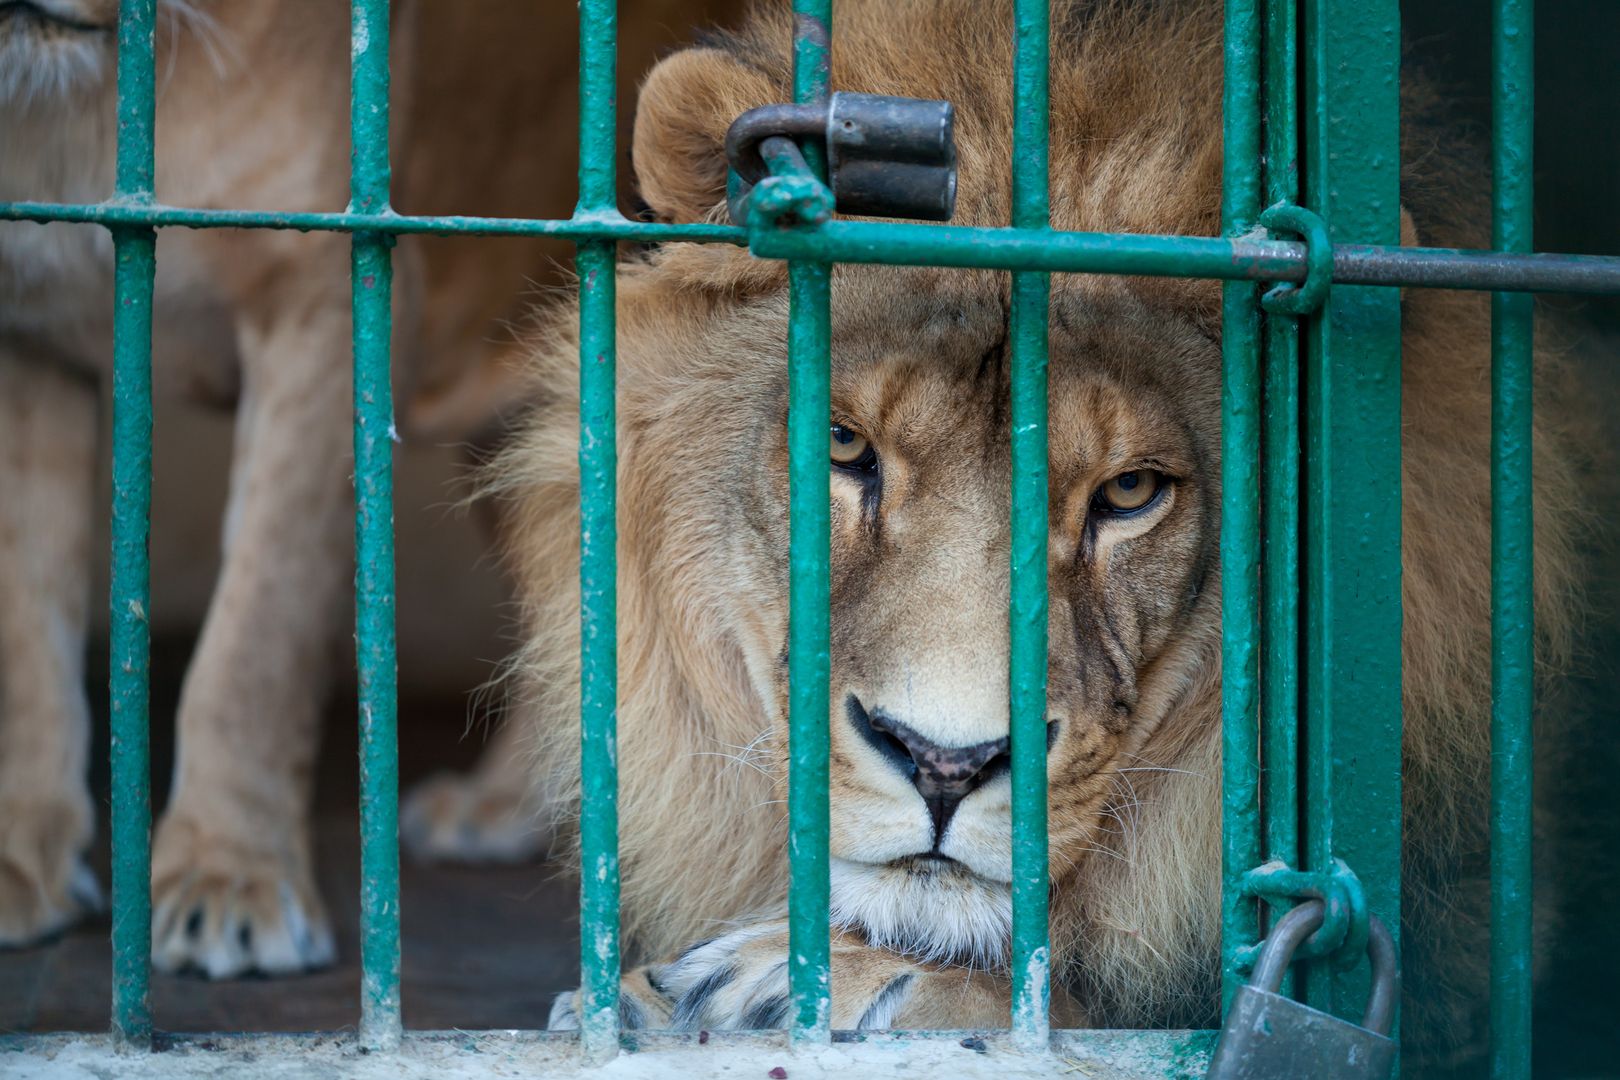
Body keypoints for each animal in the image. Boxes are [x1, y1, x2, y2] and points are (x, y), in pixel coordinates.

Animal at [0, 0, 741, 977]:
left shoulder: (324, 310)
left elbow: (255, 632)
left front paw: (229, 877)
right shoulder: (29, 336)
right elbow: (28, 626)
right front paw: (18, 865)